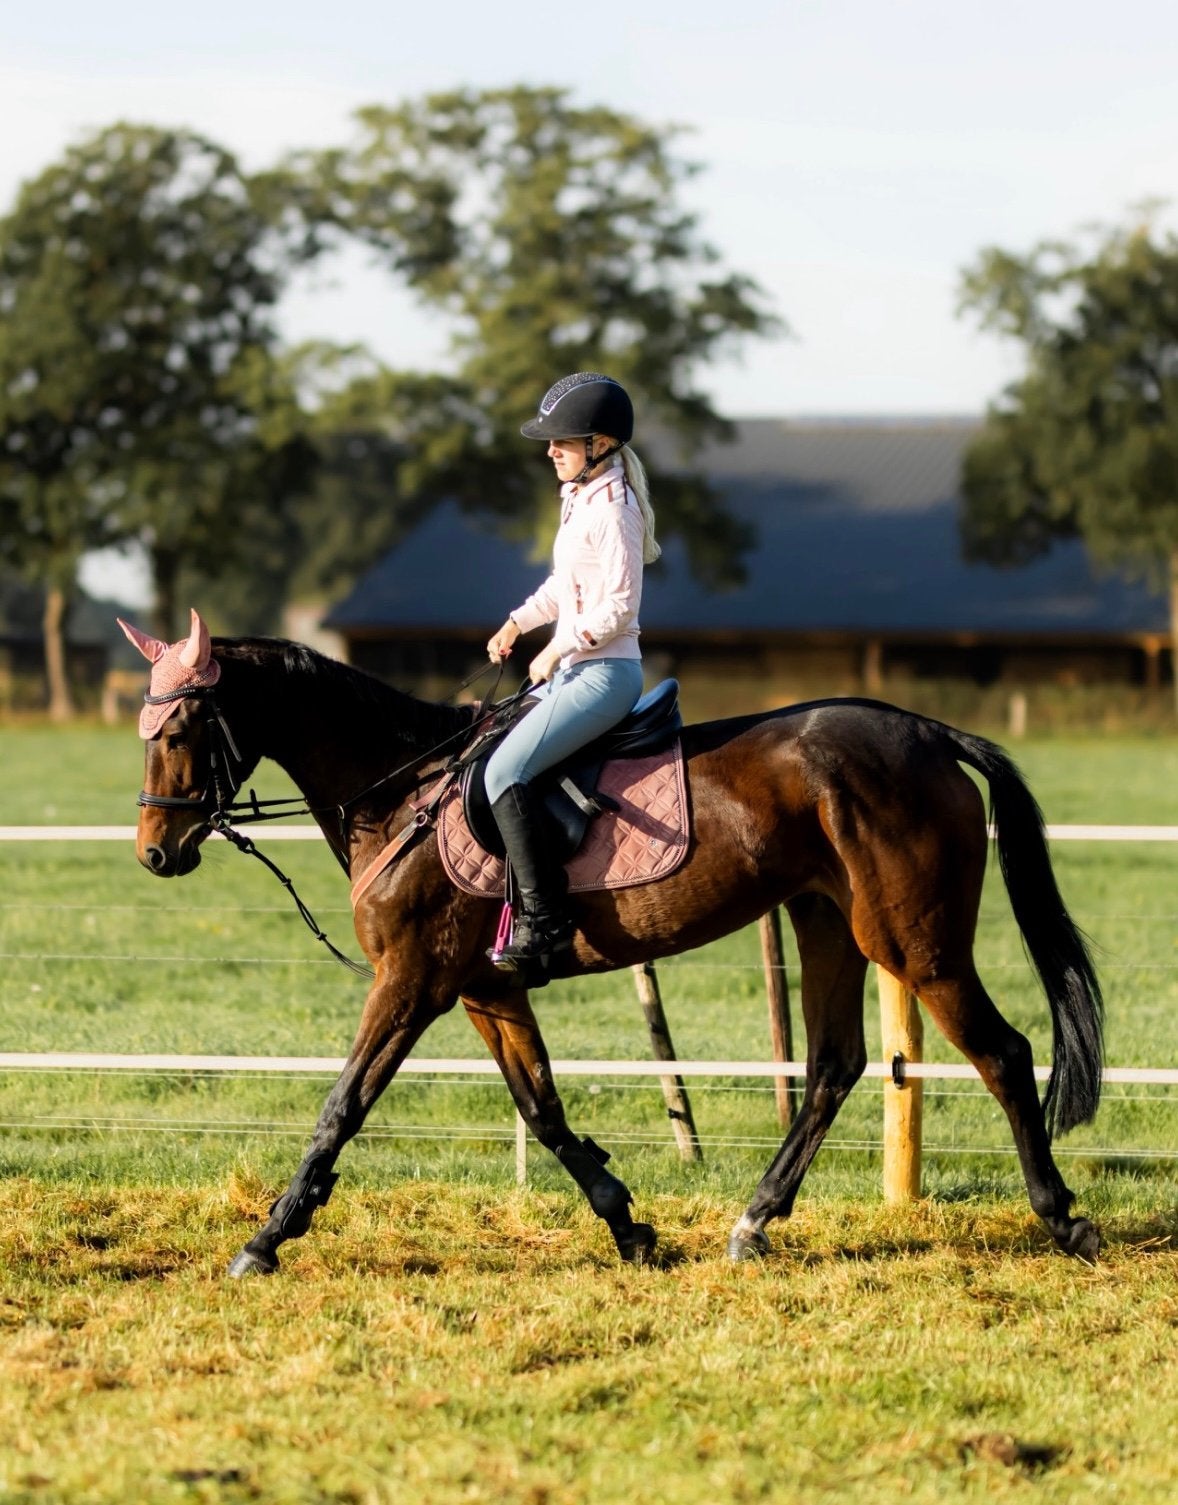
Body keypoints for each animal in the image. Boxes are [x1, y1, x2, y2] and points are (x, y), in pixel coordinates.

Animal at [122, 611, 1104, 1275]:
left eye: (182, 730)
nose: (155, 853)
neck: (402, 791)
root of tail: (928, 731)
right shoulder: (486, 990)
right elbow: (544, 1110)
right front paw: (627, 1223)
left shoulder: (410, 981)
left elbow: (342, 1106)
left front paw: (266, 1236)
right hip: (826, 919)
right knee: (834, 1064)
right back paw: (753, 1221)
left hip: (915, 940)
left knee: (1002, 1052)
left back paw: (1064, 1219)